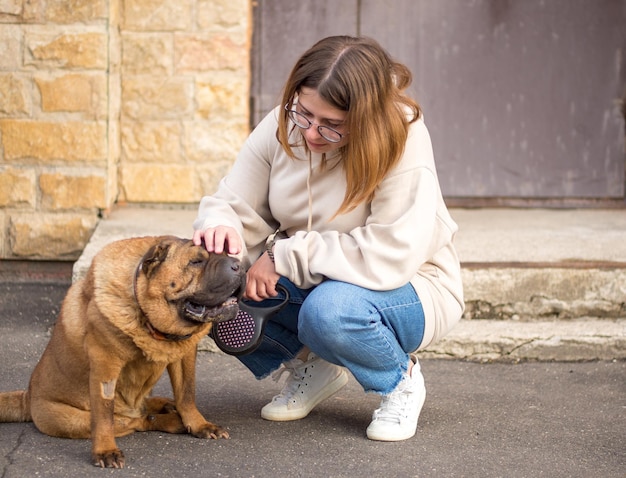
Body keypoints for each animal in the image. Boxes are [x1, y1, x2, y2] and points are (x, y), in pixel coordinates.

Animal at [0, 237, 246, 468]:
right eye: (196, 262)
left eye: (226, 252)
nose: (239, 266)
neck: (148, 320)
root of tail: (28, 397)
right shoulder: (105, 364)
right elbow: (103, 416)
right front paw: (105, 451)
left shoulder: (184, 355)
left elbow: (186, 394)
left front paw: (199, 425)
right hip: (70, 419)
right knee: (134, 421)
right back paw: (172, 421)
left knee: (144, 409)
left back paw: (166, 405)